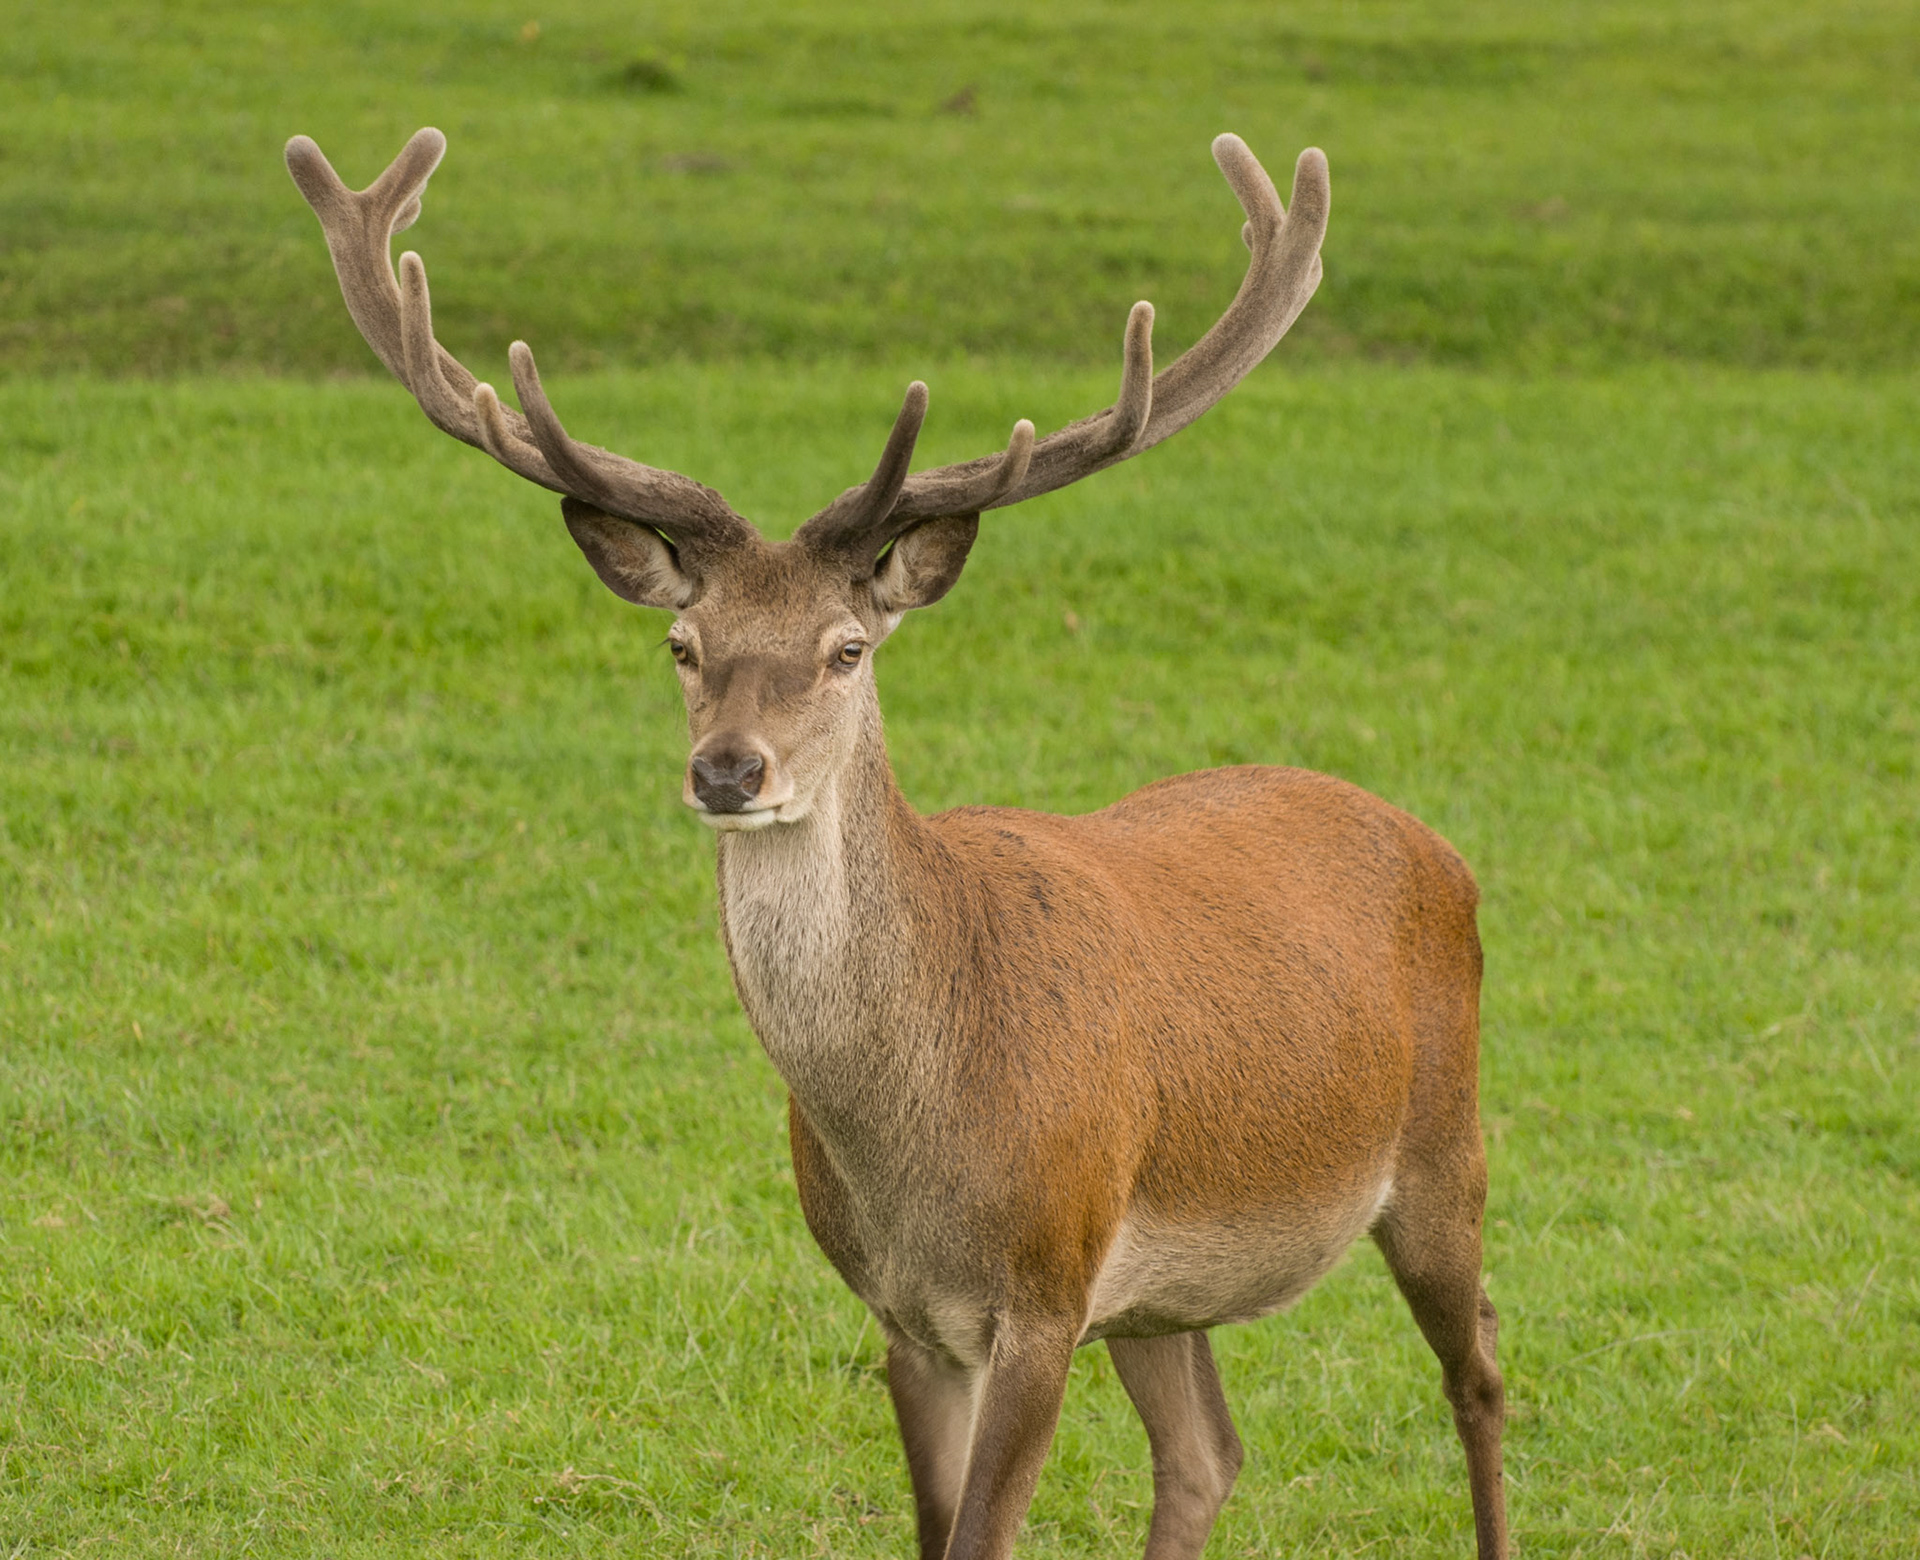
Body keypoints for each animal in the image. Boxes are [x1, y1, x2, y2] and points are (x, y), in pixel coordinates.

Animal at [286, 126, 1508, 1560]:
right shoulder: (908, 1317)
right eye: (684, 645)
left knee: (1481, 1372)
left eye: (845, 650)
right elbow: (939, 1533)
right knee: (1207, 1448)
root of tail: (1435, 848)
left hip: (1441, 1149)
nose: (727, 769)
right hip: (1160, 1290)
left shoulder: (1045, 1287)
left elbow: (984, 1536)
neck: (925, 1142)